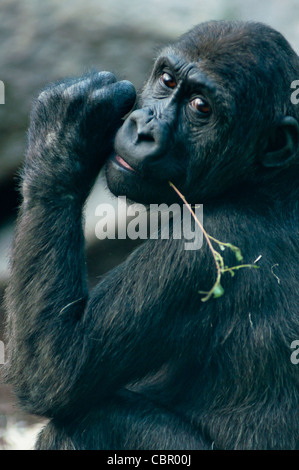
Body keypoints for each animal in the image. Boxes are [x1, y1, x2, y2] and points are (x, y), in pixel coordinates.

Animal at [2, 20, 299, 450]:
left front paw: (64, 133)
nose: (144, 129)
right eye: (167, 80)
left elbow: (56, 368)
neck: (263, 180)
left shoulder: (203, 243)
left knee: (90, 420)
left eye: (201, 107)